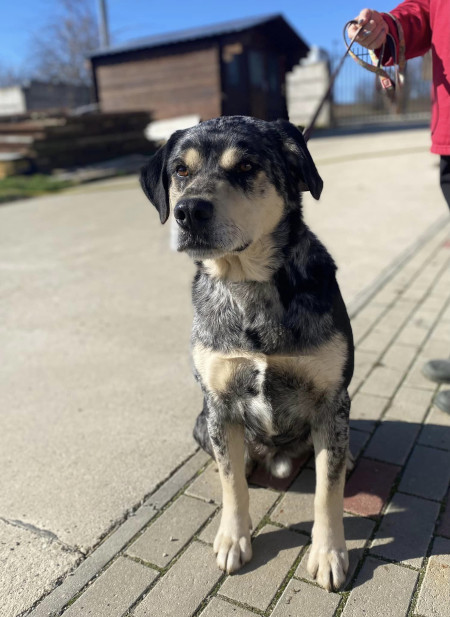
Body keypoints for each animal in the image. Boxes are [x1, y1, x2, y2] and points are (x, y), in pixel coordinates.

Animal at [140, 116, 354, 591]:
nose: (189, 212)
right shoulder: (220, 405)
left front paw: (328, 553)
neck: (248, 287)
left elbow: (328, 489)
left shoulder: (330, 403)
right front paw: (232, 539)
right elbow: (231, 482)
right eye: (180, 170)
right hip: (201, 423)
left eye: (247, 166)